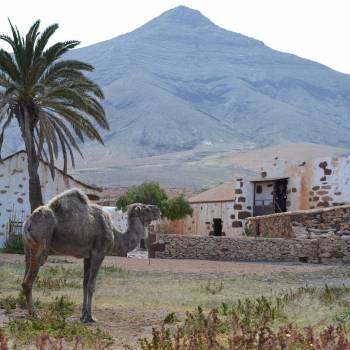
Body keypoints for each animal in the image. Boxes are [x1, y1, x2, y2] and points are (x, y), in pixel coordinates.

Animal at [23, 189, 161, 322]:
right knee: (28, 281)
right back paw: (35, 314)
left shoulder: (88, 256)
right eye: (146, 208)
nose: (158, 209)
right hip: (41, 245)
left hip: (28, 248)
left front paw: (83, 315)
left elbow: (84, 284)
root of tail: (28, 222)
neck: (115, 234)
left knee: (25, 276)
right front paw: (90, 317)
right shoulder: (99, 253)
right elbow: (91, 285)